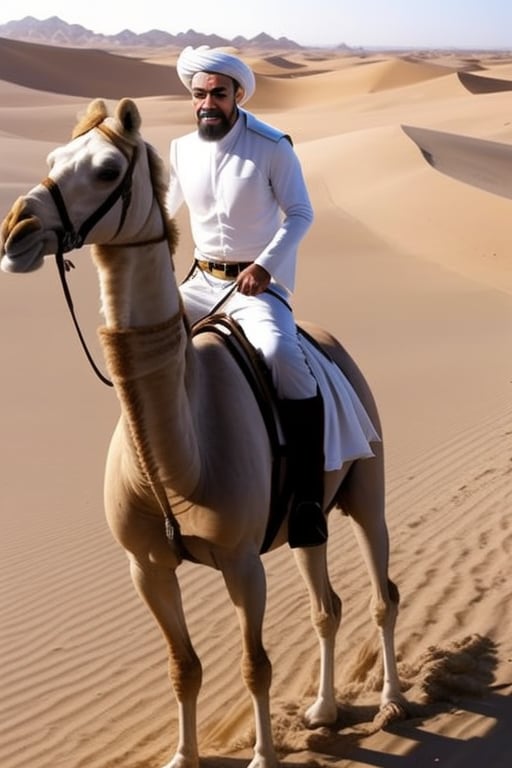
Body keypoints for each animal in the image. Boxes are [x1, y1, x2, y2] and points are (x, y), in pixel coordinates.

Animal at [2, 100, 406, 768]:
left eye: (107, 170)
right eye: (54, 158)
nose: (17, 230)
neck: (177, 458)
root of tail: (333, 347)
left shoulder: (242, 563)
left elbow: (255, 665)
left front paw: (264, 756)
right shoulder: (145, 566)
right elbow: (183, 667)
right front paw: (183, 756)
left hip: (367, 491)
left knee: (383, 593)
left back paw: (393, 702)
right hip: (307, 521)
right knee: (327, 606)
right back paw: (323, 710)